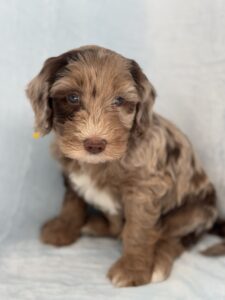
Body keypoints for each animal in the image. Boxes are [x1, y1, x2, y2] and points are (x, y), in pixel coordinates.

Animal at [26, 45, 223, 288]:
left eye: (119, 100)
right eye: (72, 97)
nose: (94, 144)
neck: (100, 163)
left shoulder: (143, 190)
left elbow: (137, 230)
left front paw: (132, 270)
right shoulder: (69, 171)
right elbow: (72, 201)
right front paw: (63, 228)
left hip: (194, 212)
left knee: (173, 239)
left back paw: (159, 263)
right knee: (117, 228)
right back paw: (94, 224)